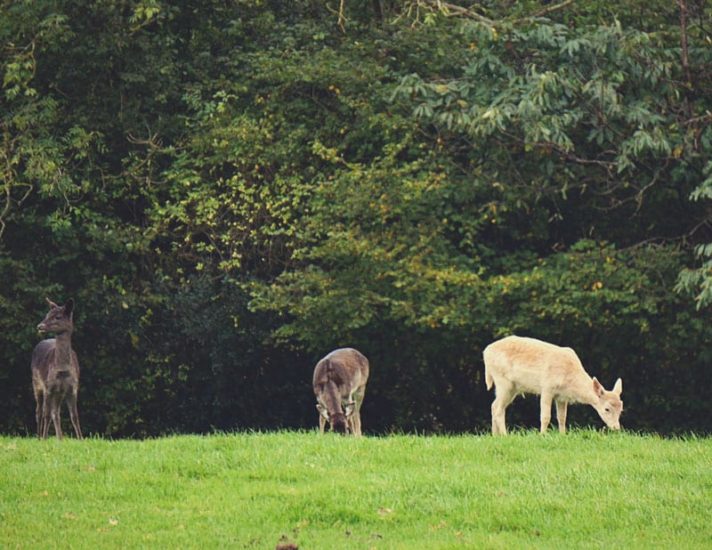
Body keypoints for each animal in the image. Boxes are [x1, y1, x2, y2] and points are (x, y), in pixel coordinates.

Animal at [31, 298, 82, 439]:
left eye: (58, 317)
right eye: (47, 314)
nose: (40, 326)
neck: (62, 370)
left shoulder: (73, 389)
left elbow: (75, 416)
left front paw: (81, 439)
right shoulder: (48, 387)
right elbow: (46, 414)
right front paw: (44, 439)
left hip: (59, 393)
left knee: (56, 412)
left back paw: (60, 438)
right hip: (36, 383)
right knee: (39, 411)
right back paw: (39, 437)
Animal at [483, 335, 623, 435]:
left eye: (621, 409)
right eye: (607, 409)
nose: (616, 428)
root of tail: (486, 353)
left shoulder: (562, 397)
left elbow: (562, 417)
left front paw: (562, 435)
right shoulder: (547, 388)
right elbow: (545, 416)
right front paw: (543, 435)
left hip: (512, 387)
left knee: (494, 405)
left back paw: (495, 436)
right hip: (503, 381)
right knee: (498, 408)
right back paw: (504, 435)